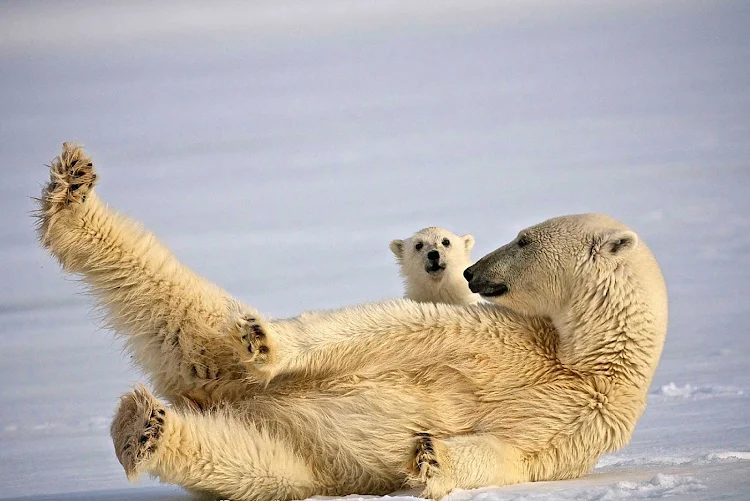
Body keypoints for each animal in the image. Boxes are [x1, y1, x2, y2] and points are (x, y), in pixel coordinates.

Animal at [36, 143, 668, 501]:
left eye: (524, 238)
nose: (472, 271)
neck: (584, 357)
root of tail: (205, 390)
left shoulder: (585, 422)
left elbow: (511, 458)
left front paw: (431, 455)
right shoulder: (499, 335)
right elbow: (395, 330)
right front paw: (270, 342)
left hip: (293, 456)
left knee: (242, 455)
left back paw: (143, 427)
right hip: (215, 350)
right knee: (173, 297)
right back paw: (72, 193)